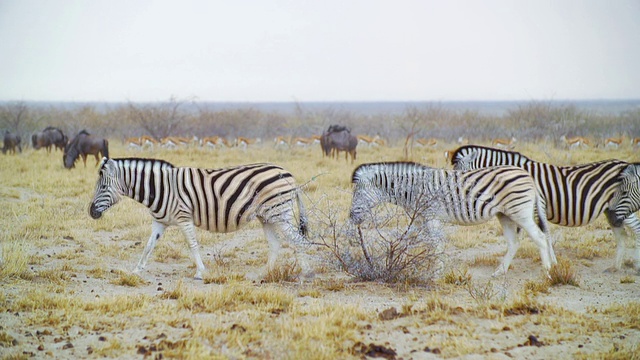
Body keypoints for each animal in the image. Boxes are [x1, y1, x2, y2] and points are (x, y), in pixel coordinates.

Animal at [89, 157, 310, 278]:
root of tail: (289, 174)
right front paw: (136, 271)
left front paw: (200, 272)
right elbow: (148, 245)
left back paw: (305, 272)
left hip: (279, 213)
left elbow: (192, 244)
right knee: (276, 244)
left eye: (103, 187)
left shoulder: (184, 217)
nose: (91, 212)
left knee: (298, 240)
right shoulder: (159, 222)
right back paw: (265, 273)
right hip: (267, 217)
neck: (160, 188)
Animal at [350, 162, 556, 278]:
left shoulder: (431, 216)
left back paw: (546, 272)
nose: (351, 217)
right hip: (505, 215)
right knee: (514, 242)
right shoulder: (419, 218)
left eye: (357, 194)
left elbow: (436, 244)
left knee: (539, 237)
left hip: (520, 211)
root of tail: (529, 175)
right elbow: (410, 240)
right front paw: (393, 260)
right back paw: (499, 272)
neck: (411, 189)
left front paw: (436, 273)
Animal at [450, 145, 640, 272]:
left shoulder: (536, 206)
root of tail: (624, 162)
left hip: (621, 206)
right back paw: (615, 267)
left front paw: (552, 263)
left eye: (459, 175)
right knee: (622, 235)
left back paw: (635, 266)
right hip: (611, 212)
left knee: (636, 229)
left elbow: (544, 234)